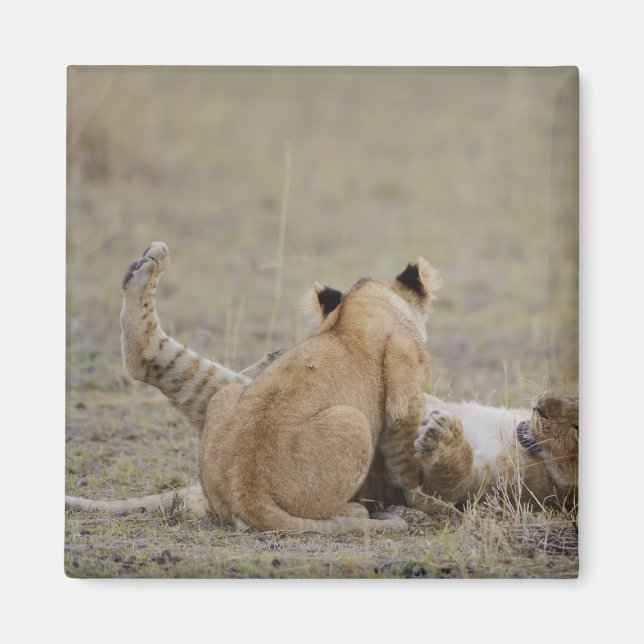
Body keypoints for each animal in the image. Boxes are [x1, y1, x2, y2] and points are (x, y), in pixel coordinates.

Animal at [68, 241, 438, 533]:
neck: (360, 308)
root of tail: (250, 496)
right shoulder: (405, 369)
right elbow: (404, 447)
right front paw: (420, 497)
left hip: (227, 398)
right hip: (353, 422)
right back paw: (358, 511)